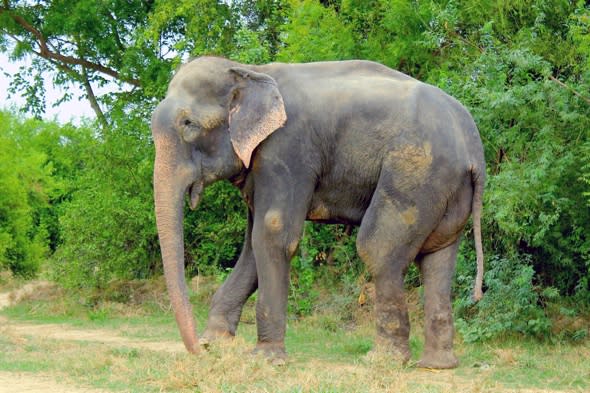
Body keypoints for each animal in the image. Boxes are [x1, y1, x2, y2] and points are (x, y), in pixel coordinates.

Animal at [151, 56, 486, 370]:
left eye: (189, 124)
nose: (197, 350)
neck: (249, 69)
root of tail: (473, 145)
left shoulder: (286, 150)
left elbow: (273, 233)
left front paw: (266, 359)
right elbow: (252, 247)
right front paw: (216, 343)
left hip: (416, 172)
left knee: (377, 248)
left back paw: (382, 360)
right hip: (447, 188)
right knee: (437, 258)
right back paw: (436, 364)